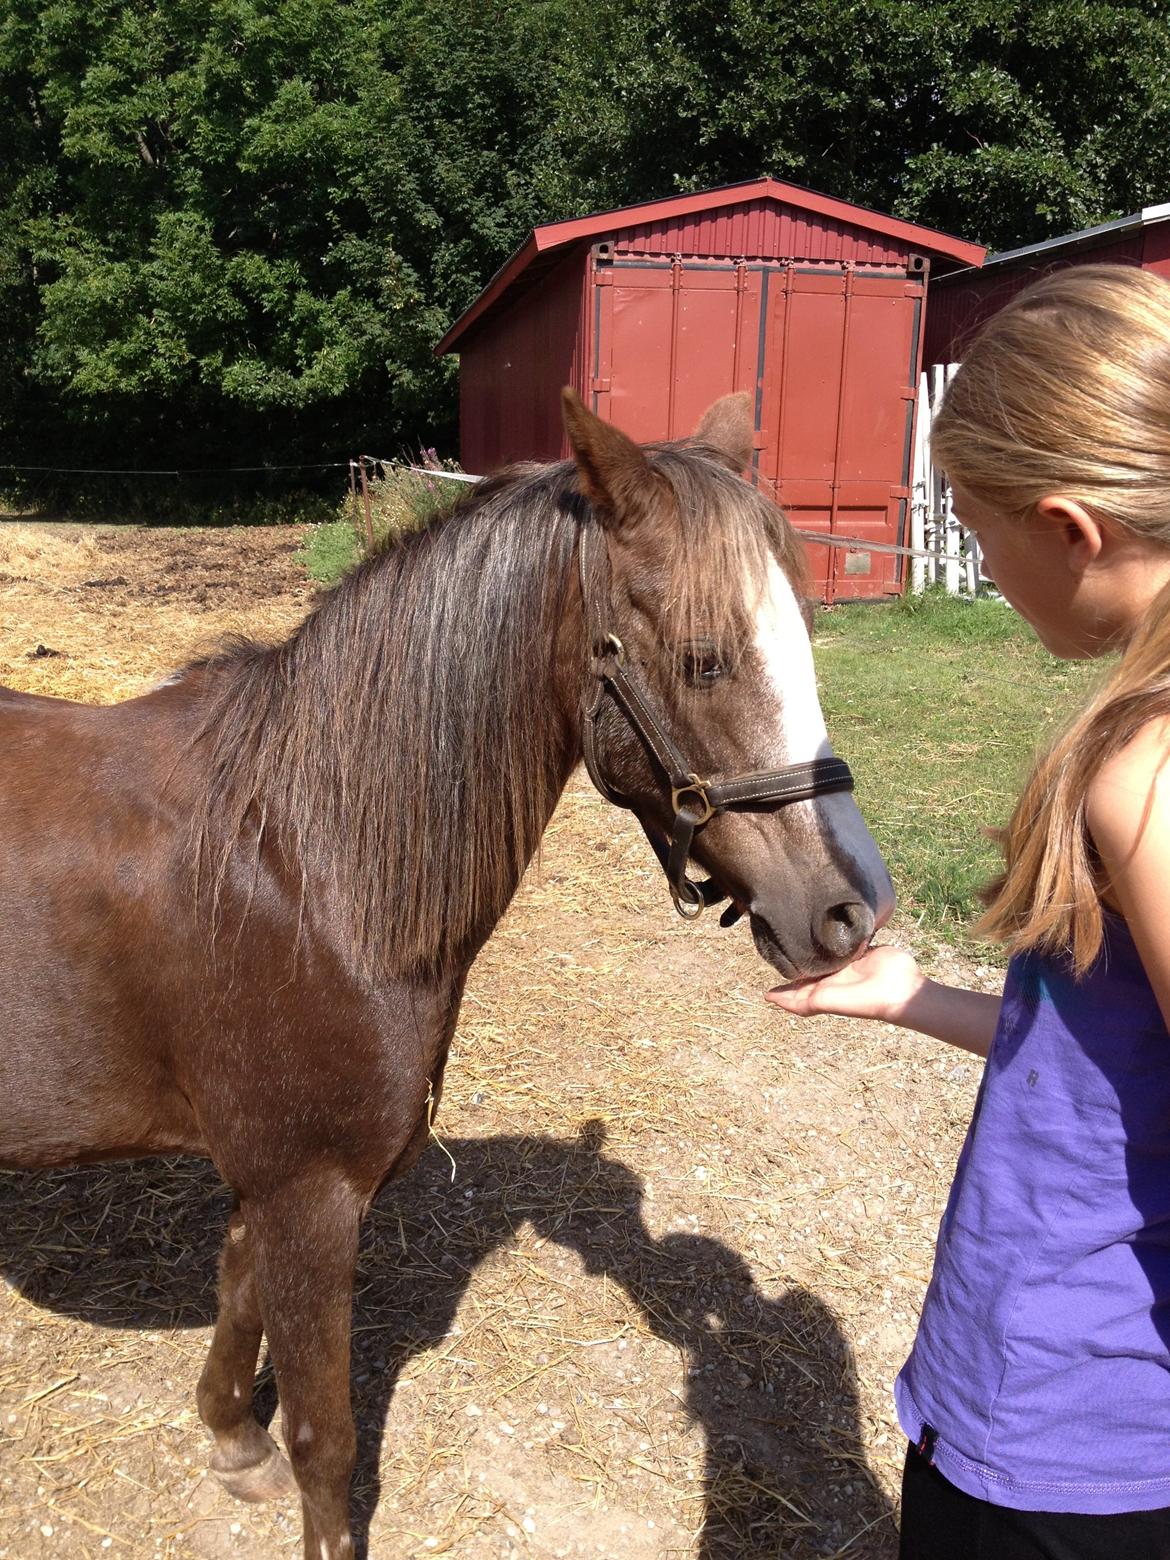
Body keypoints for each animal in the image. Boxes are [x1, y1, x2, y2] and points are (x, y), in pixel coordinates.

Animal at [0, 393, 892, 1560]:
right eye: (705, 659)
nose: (849, 909)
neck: (305, 857)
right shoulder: (310, 1191)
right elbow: (325, 1441)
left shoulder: (270, 1179)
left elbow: (238, 1291)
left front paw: (230, 1435)